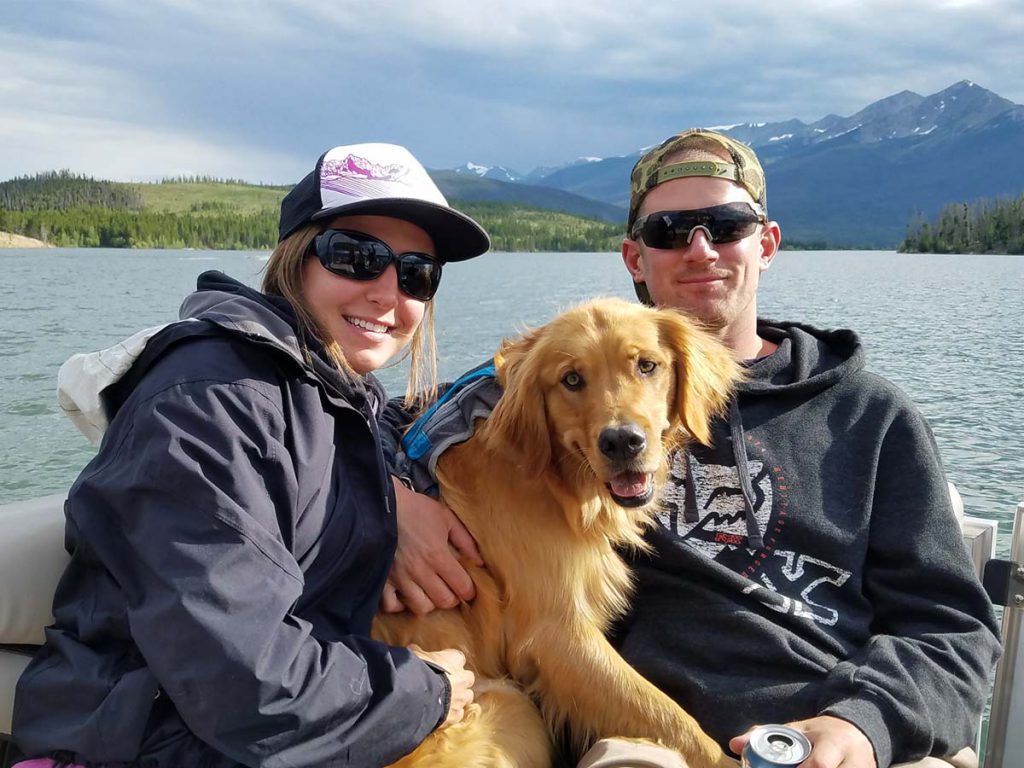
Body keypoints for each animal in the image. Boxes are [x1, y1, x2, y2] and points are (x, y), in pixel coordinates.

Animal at [372, 299, 741, 768]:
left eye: (647, 365)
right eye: (571, 379)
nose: (623, 442)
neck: (555, 480)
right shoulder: (558, 635)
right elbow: (674, 720)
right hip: (510, 707)